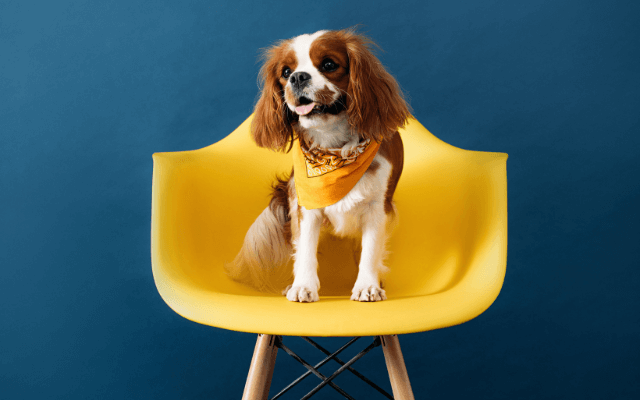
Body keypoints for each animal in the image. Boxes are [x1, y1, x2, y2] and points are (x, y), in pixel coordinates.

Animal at [225, 28, 410, 304]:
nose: (298, 77)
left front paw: (367, 285)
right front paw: (303, 286)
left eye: (329, 65)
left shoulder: (377, 207)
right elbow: (305, 250)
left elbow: (370, 250)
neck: (333, 148)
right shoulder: (305, 205)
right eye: (286, 72)